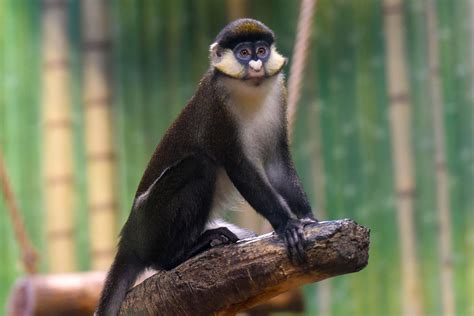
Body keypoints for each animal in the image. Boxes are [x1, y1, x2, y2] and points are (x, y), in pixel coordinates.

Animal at [95, 18, 318, 314]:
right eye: (243, 53)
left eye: (261, 50)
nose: (256, 65)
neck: (249, 93)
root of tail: (129, 239)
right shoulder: (218, 115)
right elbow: (240, 169)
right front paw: (288, 225)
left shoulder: (279, 99)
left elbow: (277, 166)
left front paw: (308, 218)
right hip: (152, 225)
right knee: (197, 167)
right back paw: (182, 253)